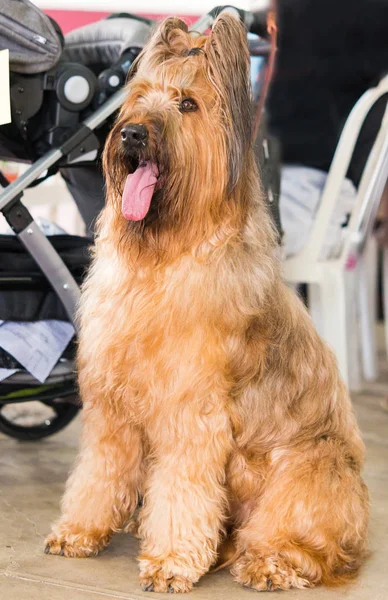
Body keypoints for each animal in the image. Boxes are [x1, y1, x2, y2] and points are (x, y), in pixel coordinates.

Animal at [44, 15, 368, 596]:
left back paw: (268, 562)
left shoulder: (190, 415)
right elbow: (98, 473)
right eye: (139, 98)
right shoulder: (111, 410)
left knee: (309, 546)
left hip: (312, 470)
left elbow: (182, 492)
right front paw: (80, 530)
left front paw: (171, 561)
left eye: (187, 104)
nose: (131, 133)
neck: (164, 256)